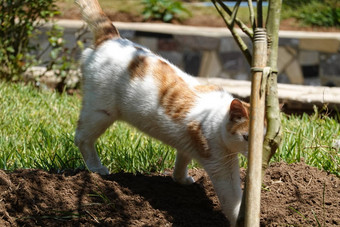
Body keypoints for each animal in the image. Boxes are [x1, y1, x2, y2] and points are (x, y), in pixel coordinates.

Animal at [74, 0, 250, 225]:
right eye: (246, 137)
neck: (217, 117)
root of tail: (111, 37)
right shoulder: (221, 166)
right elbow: (233, 200)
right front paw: (242, 219)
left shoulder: (187, 144)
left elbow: (181, 161)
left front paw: (181, 179)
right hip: (100, 112)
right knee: (82, 138)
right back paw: (97, 169)